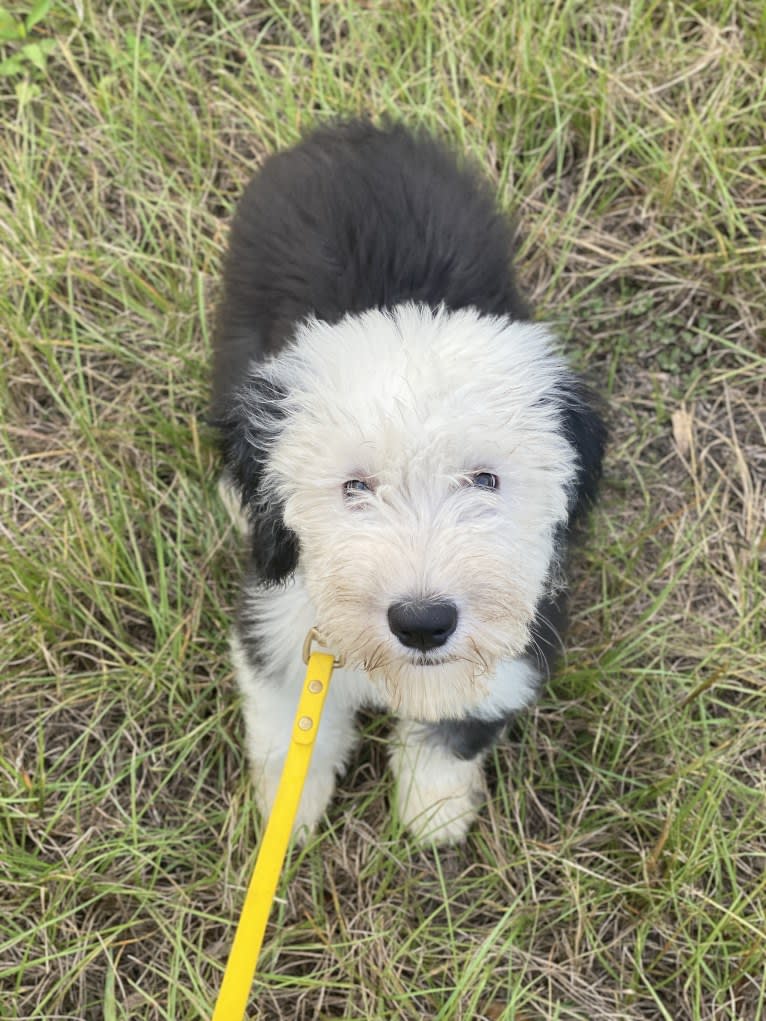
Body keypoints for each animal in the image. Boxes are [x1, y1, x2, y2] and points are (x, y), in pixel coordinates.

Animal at [210, 119, 604, 845]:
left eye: (485, 479)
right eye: (354, 486)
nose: (423, 623)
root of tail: (355, 133)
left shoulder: (513, 642)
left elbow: (454, 728)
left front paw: (433, 810)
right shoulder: (281, 627)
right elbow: (291, 731)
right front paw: (289, 811)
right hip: (239, 327)